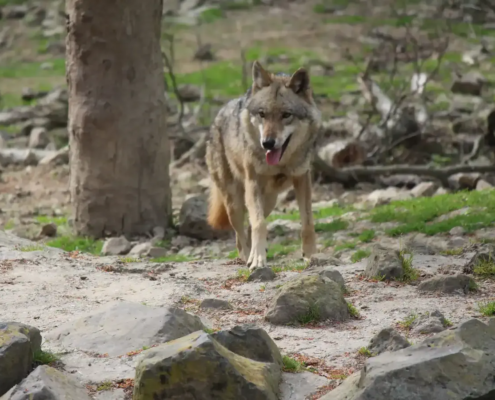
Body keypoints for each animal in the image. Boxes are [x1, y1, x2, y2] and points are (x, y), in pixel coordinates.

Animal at [205, 60, 322, 268]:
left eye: (286, 115)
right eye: (262, 114)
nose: (267, 143)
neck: (281, 164)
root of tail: (217, 117)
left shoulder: (302, 178)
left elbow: (307, 222)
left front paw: (310, 255)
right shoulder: (253, 184)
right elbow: (259, 224)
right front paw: (257, 259)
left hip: (269, 201)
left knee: (250, 226)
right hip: (235, 203)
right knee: (240, 233)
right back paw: (247, 256)